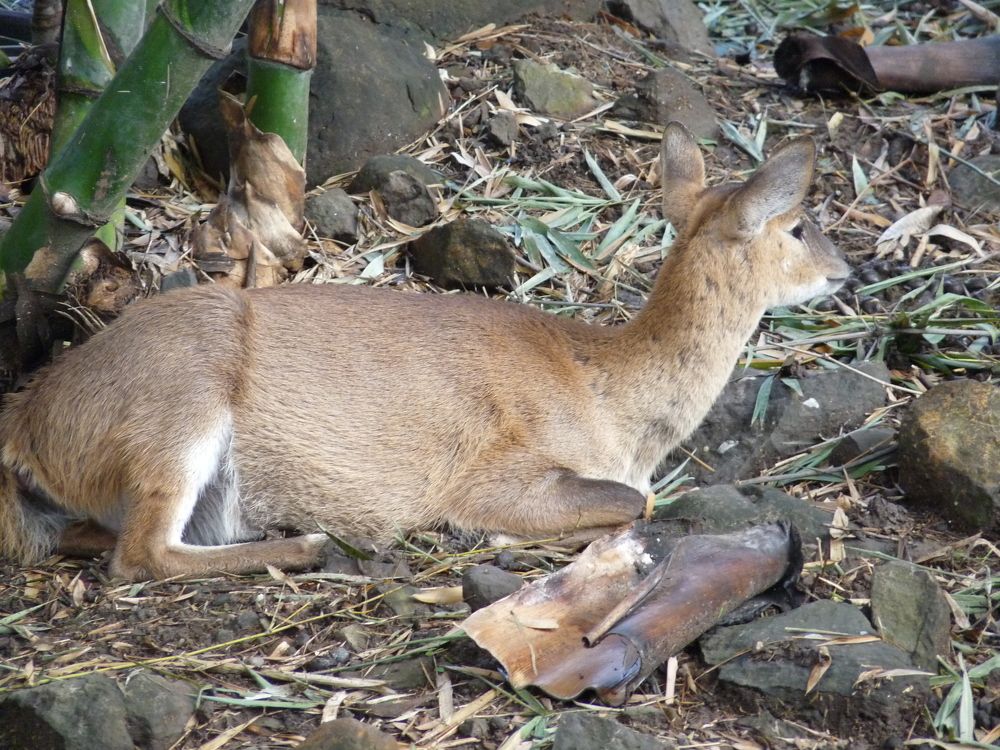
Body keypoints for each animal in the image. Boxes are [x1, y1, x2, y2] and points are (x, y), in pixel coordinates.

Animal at [0, 123, 850, 581]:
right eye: (800, 224)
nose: (847, 268)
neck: (608, 390)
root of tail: (28, 424)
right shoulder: (496, 473)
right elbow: (630, 504)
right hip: (177, 409)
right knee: (142, 553)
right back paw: (306, 543)